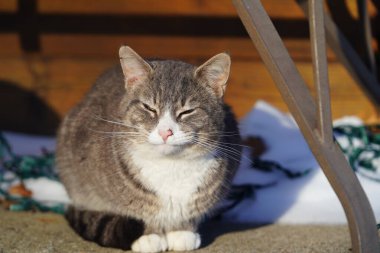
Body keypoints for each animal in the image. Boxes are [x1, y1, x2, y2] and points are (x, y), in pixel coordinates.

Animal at [55, 46, 240, 252]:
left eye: (187, 111)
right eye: (149, 108)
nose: (165, 132)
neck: (171, 165)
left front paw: (182, 232)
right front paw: (148, 237)